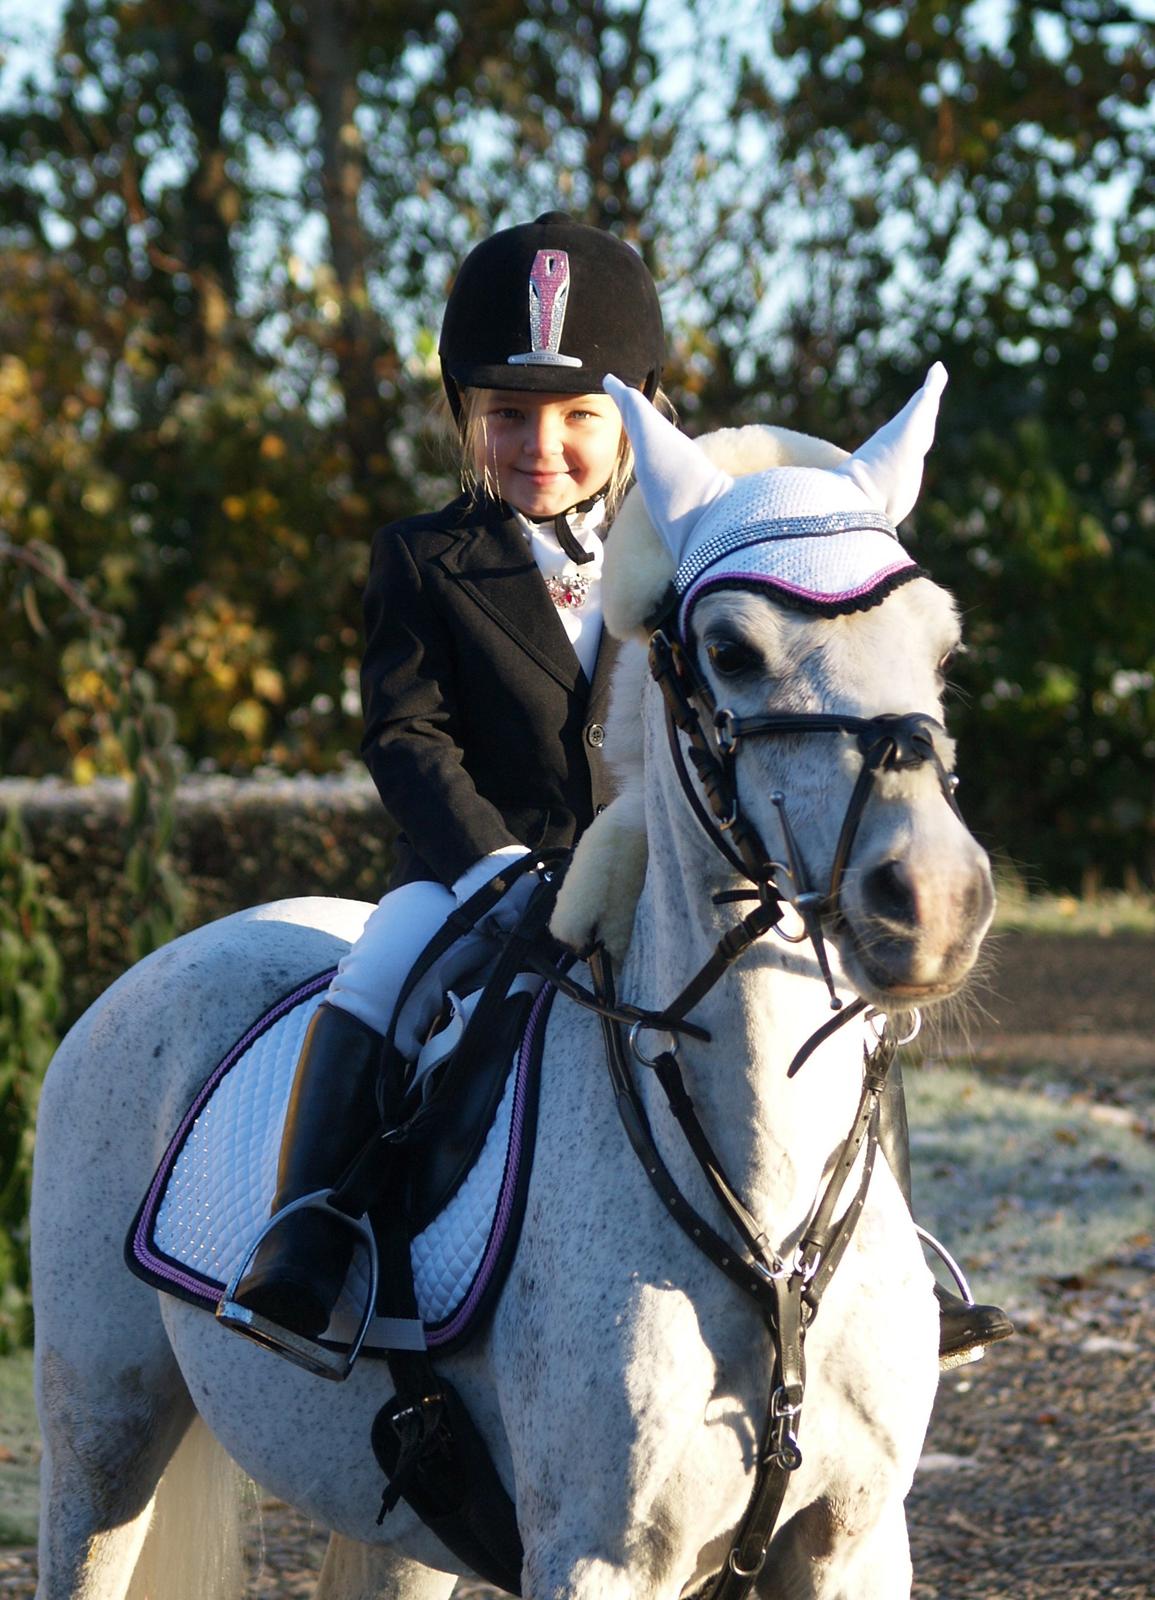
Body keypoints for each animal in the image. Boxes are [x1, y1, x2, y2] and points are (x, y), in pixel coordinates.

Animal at [33, 366, 991, 1600]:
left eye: (942, 650)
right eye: (731, 650)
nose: (933, 899)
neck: (766, 1216)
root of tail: (164, 959)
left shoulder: (856, 1540)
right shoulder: (594, 1556)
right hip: (100, 1436)